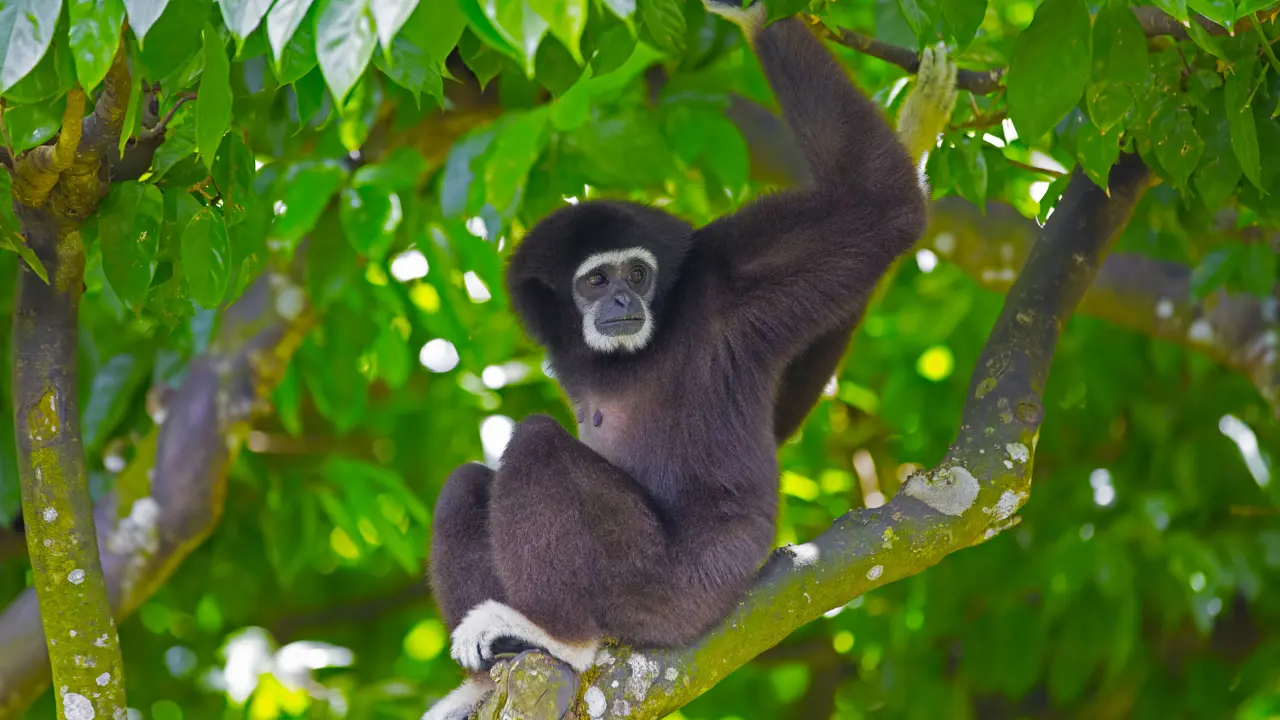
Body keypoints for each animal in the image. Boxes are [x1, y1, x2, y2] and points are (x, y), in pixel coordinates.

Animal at [424, 4, 934, 717]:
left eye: (637, 274)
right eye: (595, 281)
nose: (621, 299)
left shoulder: (725, 285)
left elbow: (879, 205)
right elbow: (784, 412)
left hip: (666, 592)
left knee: (536, 445)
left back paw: (560, 639)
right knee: (468, 480)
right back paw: (484, 680)